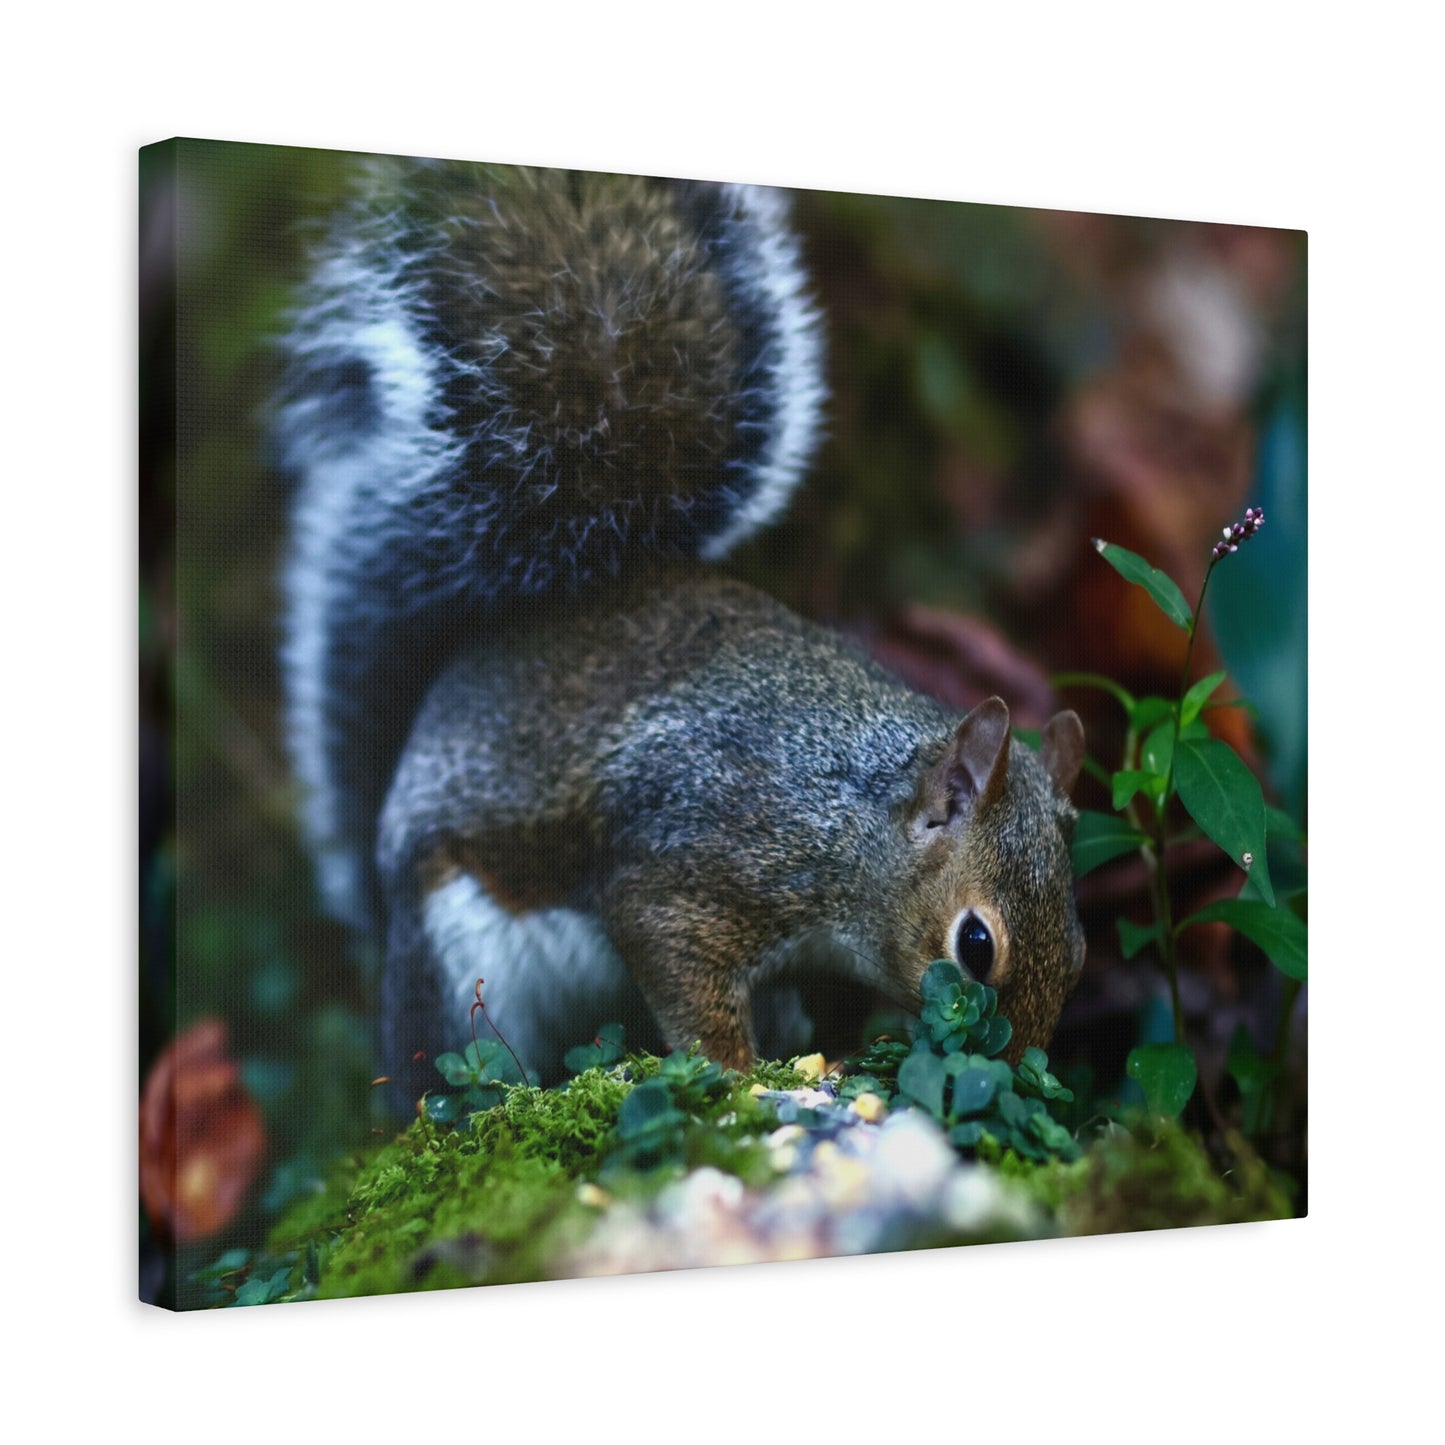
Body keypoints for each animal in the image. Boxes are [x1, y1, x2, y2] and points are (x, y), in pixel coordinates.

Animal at [275, 159, 1087, 1105]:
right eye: (975, 944)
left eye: (1078, 951)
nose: (1018, 1072)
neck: (854, 818)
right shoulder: (704, 856)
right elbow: (671, 955)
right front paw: (736, 1076)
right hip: (458, 958)